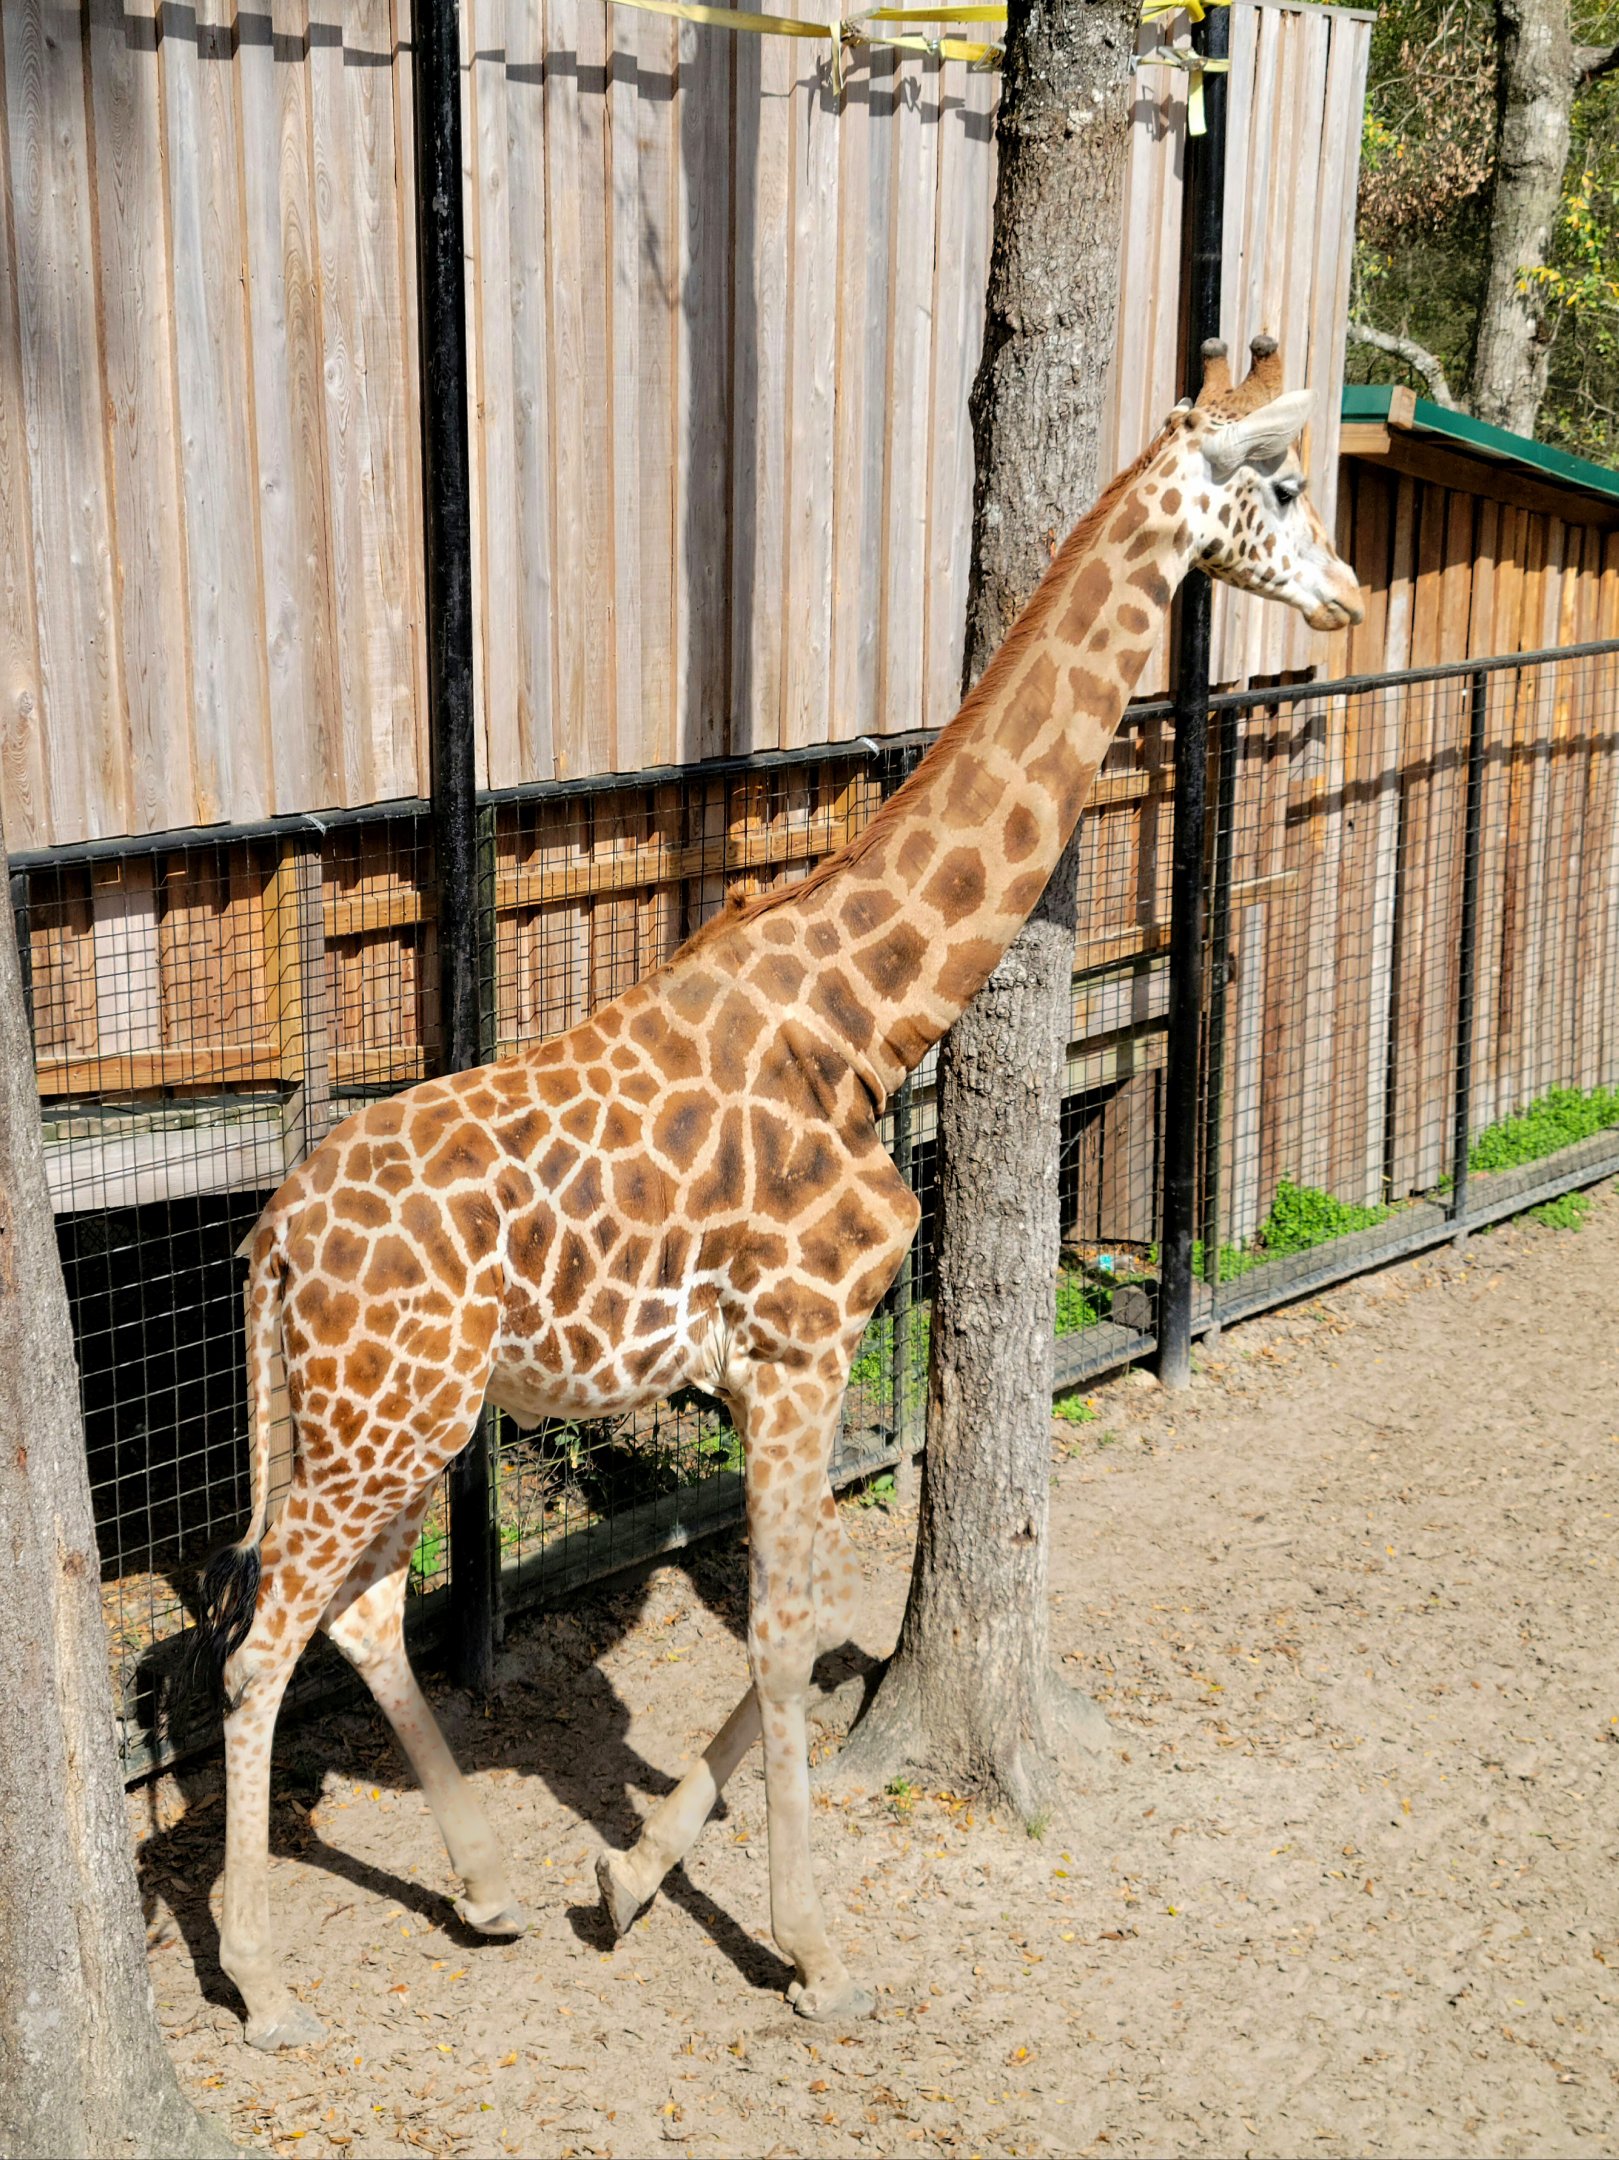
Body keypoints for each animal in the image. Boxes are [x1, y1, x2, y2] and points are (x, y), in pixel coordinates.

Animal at [195, 337, 1362, 2049]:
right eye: (1276, 484)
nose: (1345, 592)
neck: (867, 1019)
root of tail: (274, 1235)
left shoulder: (769, 1367)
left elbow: (796, 1628)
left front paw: (622, 1882)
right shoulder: (803, 1346)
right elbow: (784, 1625)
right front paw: (810, 1949)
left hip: (404, 1412)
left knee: (348, 1614)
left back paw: (477, 1890)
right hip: (379, 1416)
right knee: (261, 1638)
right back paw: (263, 1981)